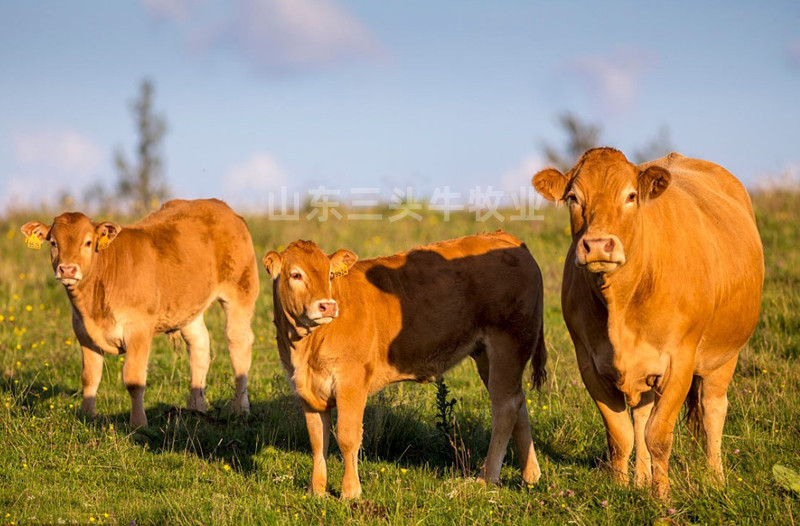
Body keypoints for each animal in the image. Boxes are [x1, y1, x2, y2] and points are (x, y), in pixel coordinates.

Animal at [266, 233, 548, 502]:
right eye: (296, 274)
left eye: (329, 275)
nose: (327, 306)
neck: (305, 348)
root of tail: (503, 237)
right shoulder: (307, 392)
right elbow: (317, 441)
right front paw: (316, 490)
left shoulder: (351, 382)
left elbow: (347, 437)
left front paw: (350, 491)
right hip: (489, 354)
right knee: (517, 402)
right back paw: (530, 475)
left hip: (508, 342)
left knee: (505, 408)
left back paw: (486, 478)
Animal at [532, 147, 764, 500]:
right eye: (573, 198)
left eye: (630, 196)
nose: (597, 245)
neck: (621, 306)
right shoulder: (589, 363)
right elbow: (622, 434)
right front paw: (620, 487)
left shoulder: (680, 362)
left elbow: (659, 435)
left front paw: (662, 495)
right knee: (641, 414)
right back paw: (641, 478)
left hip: (726, 352)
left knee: (713, 409)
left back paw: (715, 479)